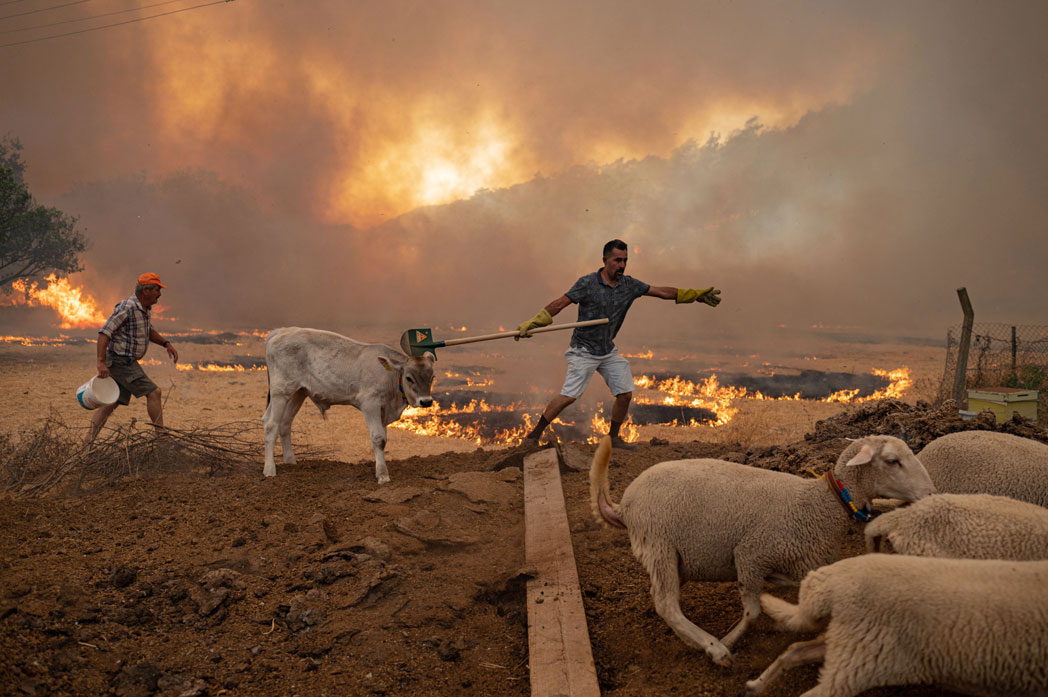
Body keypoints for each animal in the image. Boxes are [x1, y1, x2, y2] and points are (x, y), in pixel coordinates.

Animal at [266, 327, 438, 484]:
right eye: (409, 378)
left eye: (432, 377)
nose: (426, 401)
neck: (389, 376)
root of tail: (281, 331)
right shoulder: (370, 404)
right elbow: (378, 439)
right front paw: (383, 475)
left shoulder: (383, 411)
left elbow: (384, 439)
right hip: (280, 392)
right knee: (270, 425)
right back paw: (269, 470)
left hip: (298, 393)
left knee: (283, 423)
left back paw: (290, 461)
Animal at [591, 431, 934, 666]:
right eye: (892, 461)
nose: (930, 493)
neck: (820, 504)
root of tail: (624, 505)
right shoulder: (750, 555)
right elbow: (752, 612)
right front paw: (728, 640)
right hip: (658, 542)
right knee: (666, 604)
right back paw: (712, 647)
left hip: (672, 557)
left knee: (662, 597)